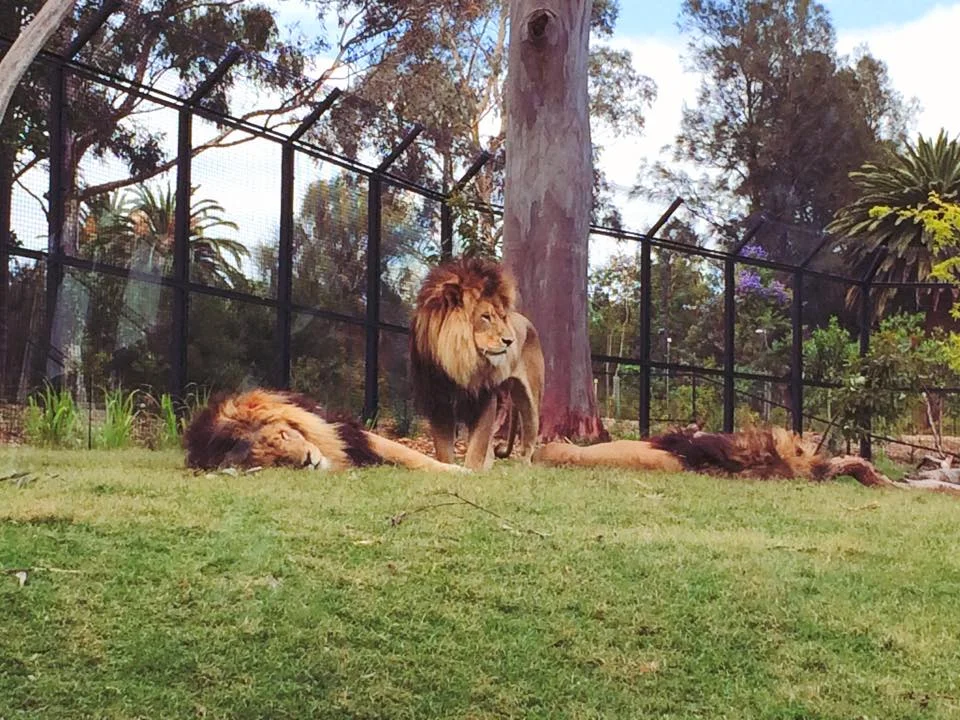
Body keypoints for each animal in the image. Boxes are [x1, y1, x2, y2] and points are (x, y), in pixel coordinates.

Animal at [184, 389, 466, 473]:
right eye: (278, 461)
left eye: (284, 434)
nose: (309, 460)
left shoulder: (348, 431)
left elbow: (409, 454)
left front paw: (460, 471)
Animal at [410, 256, 545, 470]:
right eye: (486, 317)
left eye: (502, 317)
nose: (510, 341)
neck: (461, 361)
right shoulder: (439, 403)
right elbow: (444, 451)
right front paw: (450, 469)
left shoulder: (484, 399)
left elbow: (476, 448)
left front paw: (472, 472)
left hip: (530, 399)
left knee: (529, 439)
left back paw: (523, 467)